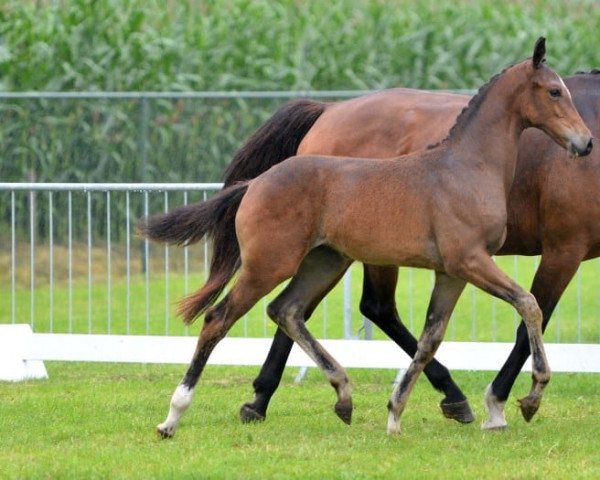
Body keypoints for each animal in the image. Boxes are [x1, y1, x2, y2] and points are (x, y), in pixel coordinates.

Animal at [142, 39, 596, 436]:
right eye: (555, 90)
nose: (585, 142)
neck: (466, 166)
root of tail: (255, 183)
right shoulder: (477, 260)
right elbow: (529, 306)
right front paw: (526, 399)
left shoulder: (452, 273)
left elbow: (431, 339)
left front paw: (397, 414)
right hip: (269, 264)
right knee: (220, 319)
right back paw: (173, 417)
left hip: (325, 261)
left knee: (287, 310)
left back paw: (342, 396)